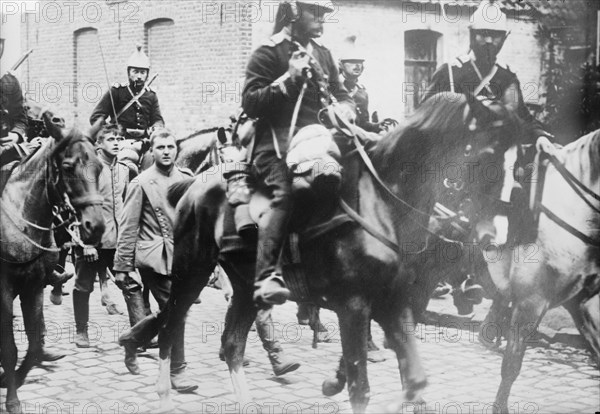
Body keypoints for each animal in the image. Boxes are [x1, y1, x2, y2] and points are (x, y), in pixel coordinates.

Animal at [0, 111, 105, 412]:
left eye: (99, 167)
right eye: (67, 167)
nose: (96, 226)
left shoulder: (33, 286)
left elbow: (34, 344)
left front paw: (14, 378)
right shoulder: (4, 290)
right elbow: (9, 348)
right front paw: (13, 399)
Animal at [152, 92, 524, 412]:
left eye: (519, 165)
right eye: (487, 156)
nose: (492, 236)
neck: (381, 203)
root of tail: (194, 183)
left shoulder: (393, 300)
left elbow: (414, 379)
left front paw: (338, 380)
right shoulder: (354, 305)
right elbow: (362, 388)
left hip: (246, 286)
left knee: (232, 344)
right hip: (190, 271)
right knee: (170, 327)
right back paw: (166, 395)